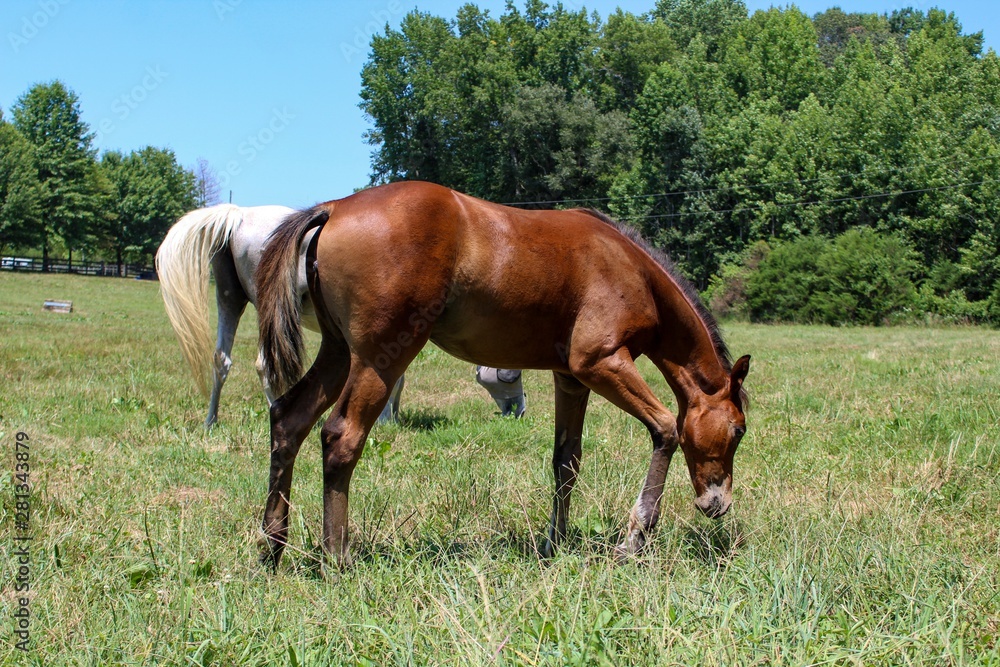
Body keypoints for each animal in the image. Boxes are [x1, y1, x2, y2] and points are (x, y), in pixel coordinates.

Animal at [156, 204, 525, 428]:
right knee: (263, 364)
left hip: (230, 299)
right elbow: (395, 377)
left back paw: (211, 420)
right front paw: (387, 418)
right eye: (511, 374)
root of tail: (239, 215)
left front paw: (392, 415)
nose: (520, 410)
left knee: (221, 358)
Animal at [255, 181, 750, 569]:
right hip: (379, 358)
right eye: (739, 430)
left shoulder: (571, 379)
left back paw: (271, 547)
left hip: (339, 353)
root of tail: (335, 206)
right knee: (341, 437)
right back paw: (336, 557)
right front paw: (634, 541)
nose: (718, 504)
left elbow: (566, 460)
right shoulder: (601, 363)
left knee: (289, 421)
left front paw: (554, 544)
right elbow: (666, 429)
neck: (631, 268)